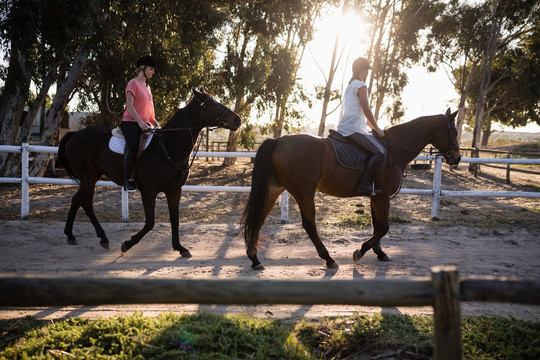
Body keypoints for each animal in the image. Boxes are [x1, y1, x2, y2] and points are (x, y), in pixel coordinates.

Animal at [58, 88, 240, 255]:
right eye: (211, 104)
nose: (238, 120)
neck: (167, 147)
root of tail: (74, 135)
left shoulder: (175, 190)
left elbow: (175, 218)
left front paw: (180, 247)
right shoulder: (148, 190)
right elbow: (150, 222)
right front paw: (127, 244)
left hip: (90, 177)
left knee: (76, 200)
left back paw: (70, 235)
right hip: (88, 178)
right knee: (87, 204)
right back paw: (103, 238)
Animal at [244, 108, 460, 268]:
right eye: (455, 132)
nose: (456, 158)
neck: (394, 149)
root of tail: (278, 141)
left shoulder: (375, 196)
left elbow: (377, 226)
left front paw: (379, 252)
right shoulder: (382, 197)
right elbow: (384, 227)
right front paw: (361, 250)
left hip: (273, 190)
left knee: (258, 219)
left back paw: (255, 259)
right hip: (304, 193)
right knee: (309, 225)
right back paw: (329, 259)